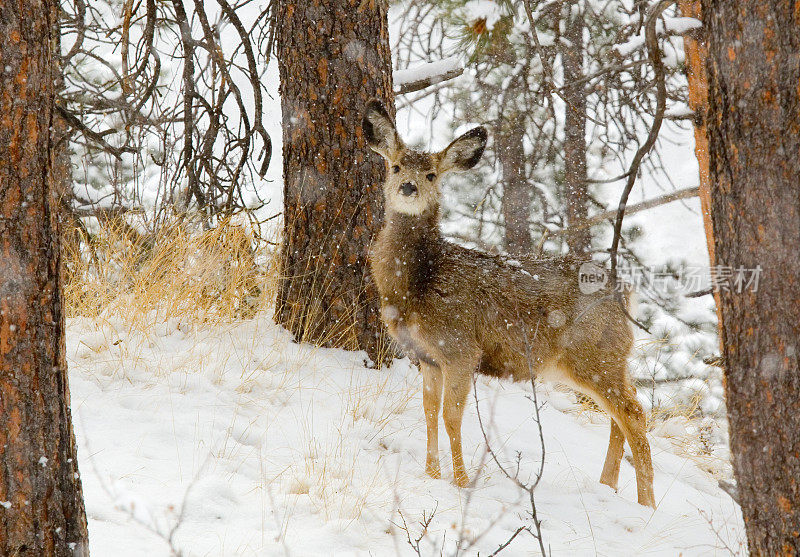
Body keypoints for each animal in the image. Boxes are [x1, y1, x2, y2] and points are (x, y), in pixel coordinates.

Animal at [362, 100, 656, 508]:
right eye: (395, 167)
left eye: (432, 174)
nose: (408, 187)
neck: (418, 284)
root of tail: (624, 290)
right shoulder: (427, 356)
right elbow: (429, 412)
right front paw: (432, 474)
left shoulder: (460, 348)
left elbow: (451, 416)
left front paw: (460, 482)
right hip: (598, 360)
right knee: (621, 414)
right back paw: (607, 487)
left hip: (594, 353)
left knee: (634, 413)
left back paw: (647, 504)